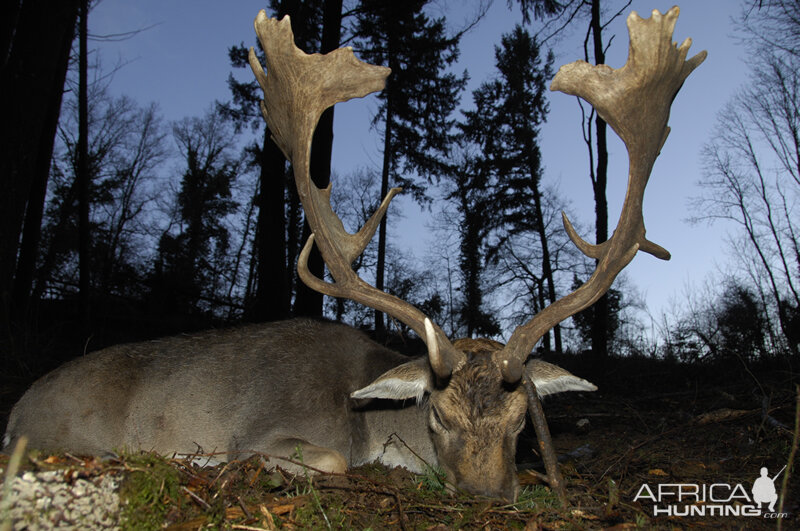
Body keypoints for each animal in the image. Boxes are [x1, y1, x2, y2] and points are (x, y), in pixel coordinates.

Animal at [7, 6, 708, 500]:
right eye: (438, 416)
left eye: (519, 424)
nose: (487, 497)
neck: (367, 416)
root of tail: (16, 409)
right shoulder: (265, 431)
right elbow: (330, 458)